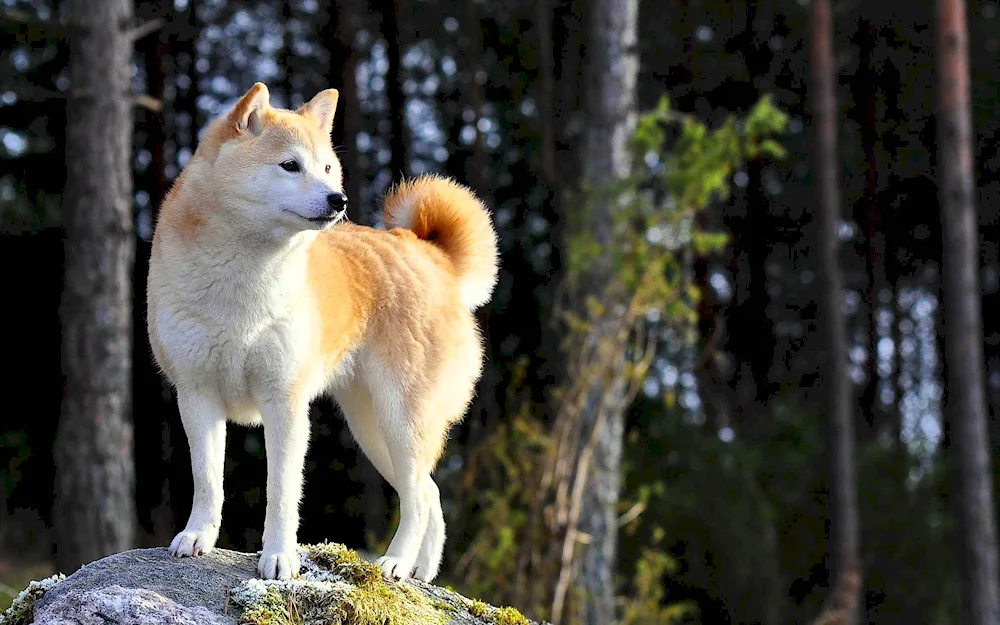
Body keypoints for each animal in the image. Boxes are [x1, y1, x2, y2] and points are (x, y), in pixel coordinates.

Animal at [147, 81, 500, 580]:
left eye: (328, 167)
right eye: (290, 165)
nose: (340, 200)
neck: (242, 284)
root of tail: (432, 256)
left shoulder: (285, 401)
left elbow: (281, 492)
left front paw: (279, 557)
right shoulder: (197, 395)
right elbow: (208, 480)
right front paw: (199, 537)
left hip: (402, 418)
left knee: (417, 499)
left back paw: (395, 563)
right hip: (372, 429)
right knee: (429, 494)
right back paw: (422, 571)